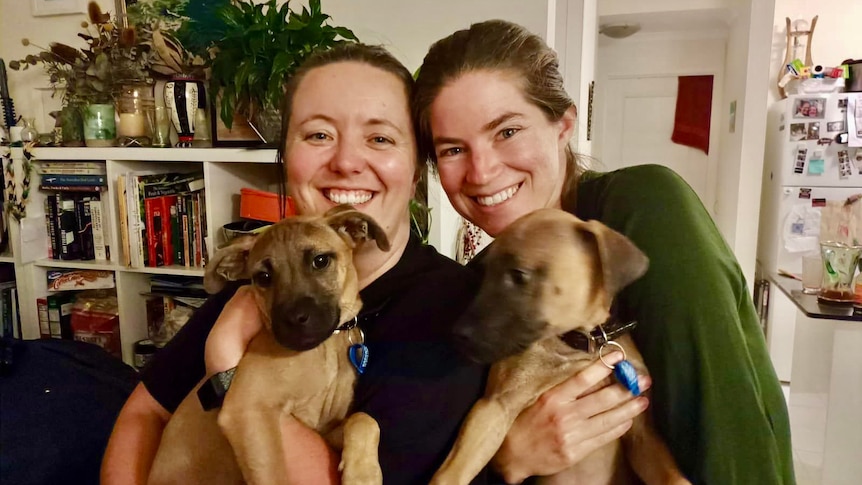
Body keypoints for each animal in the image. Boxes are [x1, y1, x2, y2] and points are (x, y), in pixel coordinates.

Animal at [150, 205, 390, 484]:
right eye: (263, 277)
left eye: (320, 261)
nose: (295, 319)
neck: (325, 348)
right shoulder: (246, 410)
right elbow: (274, 474)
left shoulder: (325, 431)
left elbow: (365, 419)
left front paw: (363, 473)